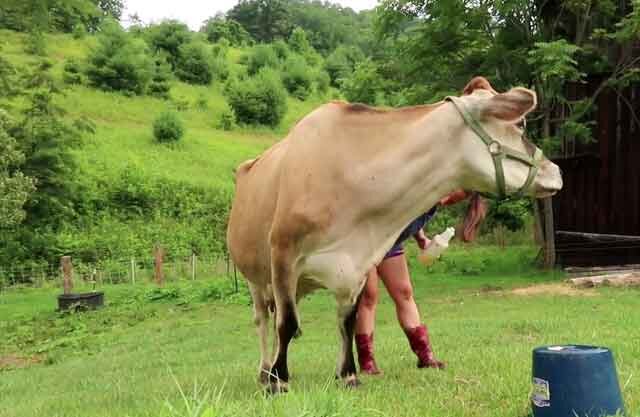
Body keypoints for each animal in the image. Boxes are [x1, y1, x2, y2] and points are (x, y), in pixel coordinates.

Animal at [228, 76, 564, 392]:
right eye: (519, 125)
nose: (557, 171)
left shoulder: (356, 265)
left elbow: (346, 323)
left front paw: (348, 375)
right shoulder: (283, 253)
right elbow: (287, 323)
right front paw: (279, 382)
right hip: (255, 276)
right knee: (264, 320)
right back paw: (265, 372)